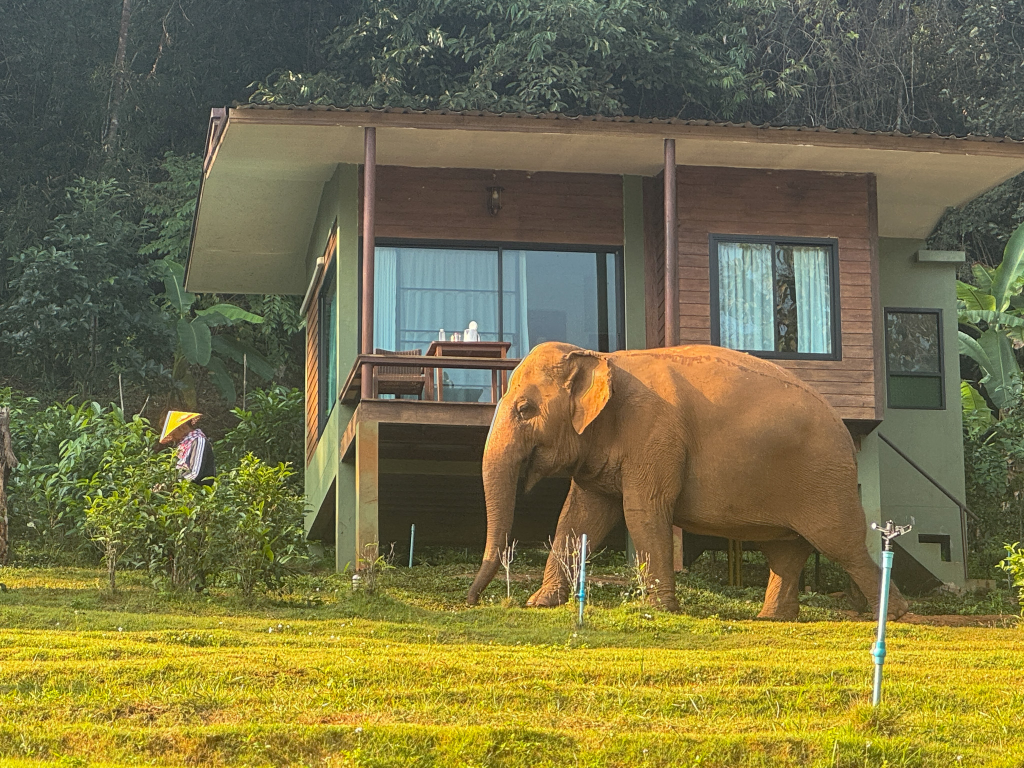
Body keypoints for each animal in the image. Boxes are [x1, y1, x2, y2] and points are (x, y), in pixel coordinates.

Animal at [466, 342, 908, 621]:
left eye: (524, 409)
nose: (472, 601)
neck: (602, 357)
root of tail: (845, 430)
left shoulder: (654, 433)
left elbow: (642, 511)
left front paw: (658, 610)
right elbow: (578, 518)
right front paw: (539, 604)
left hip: (825, 480)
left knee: (842, 544)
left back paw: (895, 614)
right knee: (786, 550)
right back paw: (772, 619)